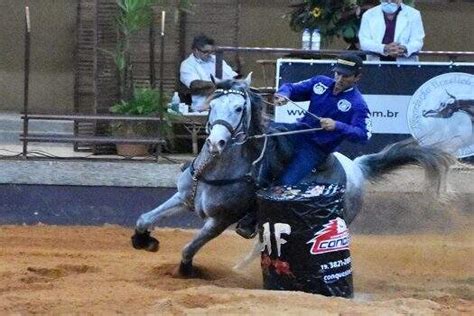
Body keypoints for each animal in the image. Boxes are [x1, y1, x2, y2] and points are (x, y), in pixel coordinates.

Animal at [131, 74, 454, 276]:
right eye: (212, 105)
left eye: (239, 107)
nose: (216, 142)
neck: (220, 169)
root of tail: (357, 168)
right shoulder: (182, 197)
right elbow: (144, 218)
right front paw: (143, 240)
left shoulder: (220, 220)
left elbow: (190, 246)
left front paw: (185, 269)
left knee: (265, 244)